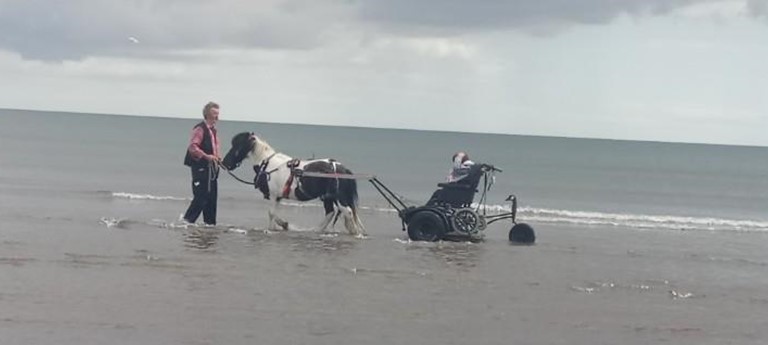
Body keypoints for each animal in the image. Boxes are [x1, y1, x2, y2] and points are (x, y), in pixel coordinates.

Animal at [222, 132, 366, 236]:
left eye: (237, 145)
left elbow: (271, 213)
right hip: (328, 197)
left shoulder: (273, 196)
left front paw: (272, 228)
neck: (268, 165)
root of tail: (343, 169)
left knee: (347, 212)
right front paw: (284, 225)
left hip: (338, 198)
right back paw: (317, 230)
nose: (225, 163)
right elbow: (274, 214)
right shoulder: (278, 197)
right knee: (330, 213)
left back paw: (355, 233)